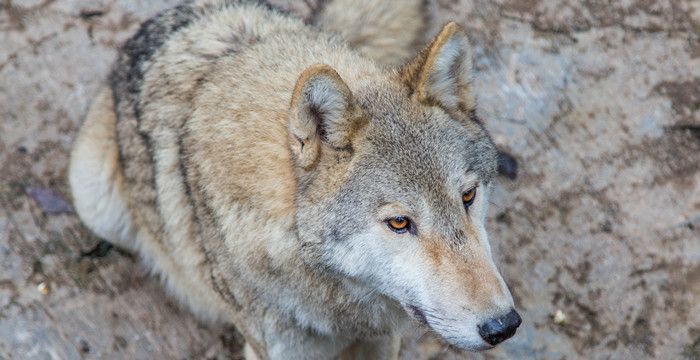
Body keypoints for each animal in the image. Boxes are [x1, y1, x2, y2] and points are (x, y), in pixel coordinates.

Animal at [69, 1, 520, 358]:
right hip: (93, 195)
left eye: (468, 196)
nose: (503, 326)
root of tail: (158, 18)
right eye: (399, 222)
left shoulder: (380, 340)